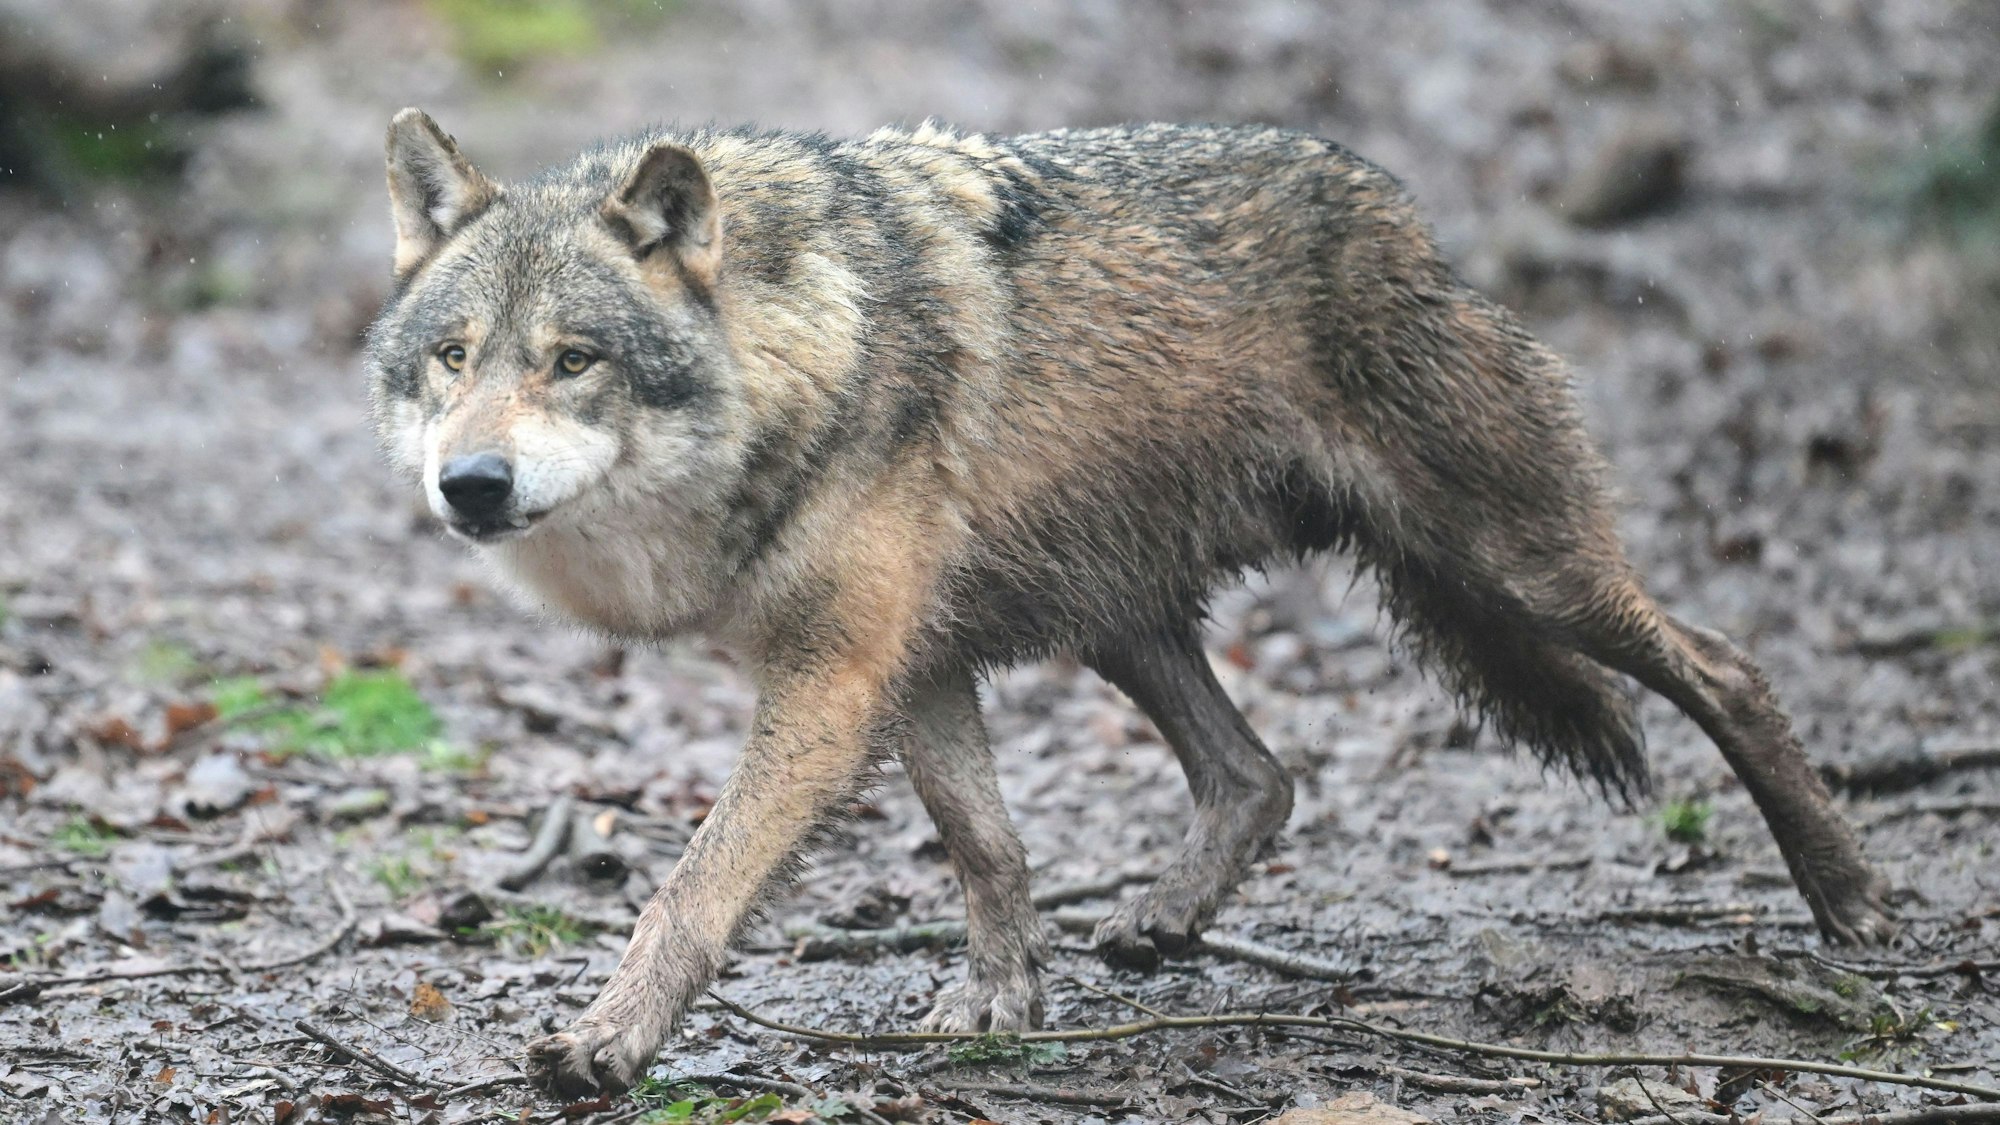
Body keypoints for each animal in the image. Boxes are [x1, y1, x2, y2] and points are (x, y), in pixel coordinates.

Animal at [365, 109, 1896, 1096]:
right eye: (453, 356)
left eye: (572, 360)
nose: (471, 484)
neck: (800, 352)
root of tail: (1404, 215)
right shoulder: (912, 663)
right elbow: (987, 845)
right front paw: (1000, 1002)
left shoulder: (835, 676)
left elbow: (691, 887)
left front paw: (606, 1043)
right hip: (1120, 615)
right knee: (1260, 774)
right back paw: (1161, 920)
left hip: (1515, 567)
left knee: (1727, 665)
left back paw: (1849, 902)